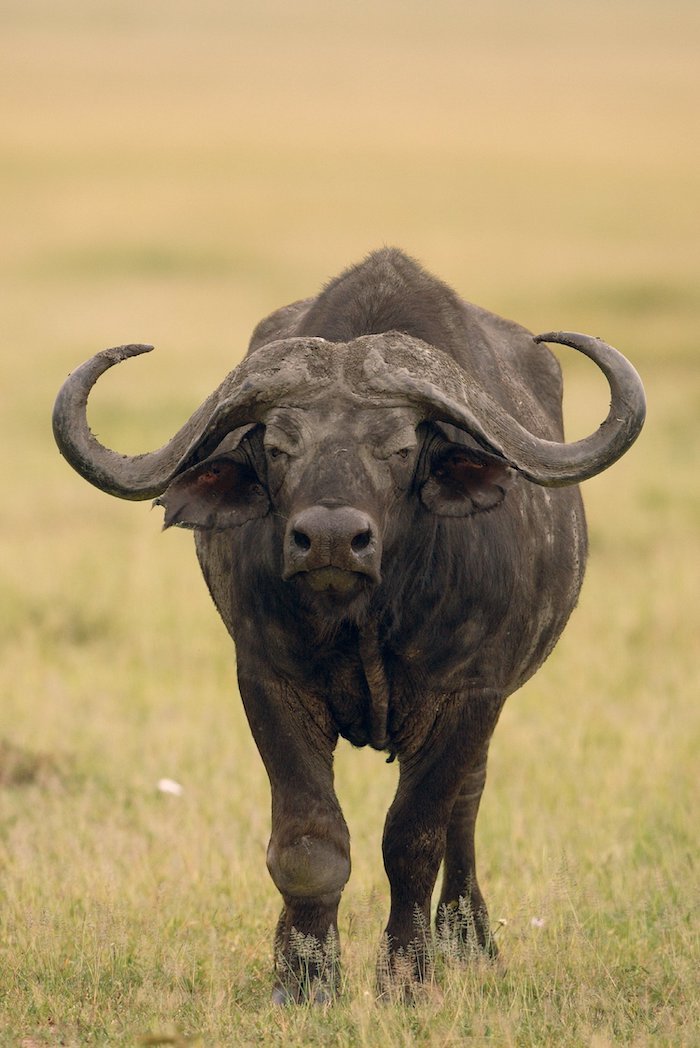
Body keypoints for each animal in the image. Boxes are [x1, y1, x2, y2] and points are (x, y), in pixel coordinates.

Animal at [53, 249, 645, 1002]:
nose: (332, 539)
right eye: (279, 446)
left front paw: (407, 976)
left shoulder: (471, 693)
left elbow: (414, 839)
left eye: (399, 448)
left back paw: (469, 940)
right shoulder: (269, 682)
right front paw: (304, 976)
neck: (366, 618)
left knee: (466, 809)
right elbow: (310, 844)